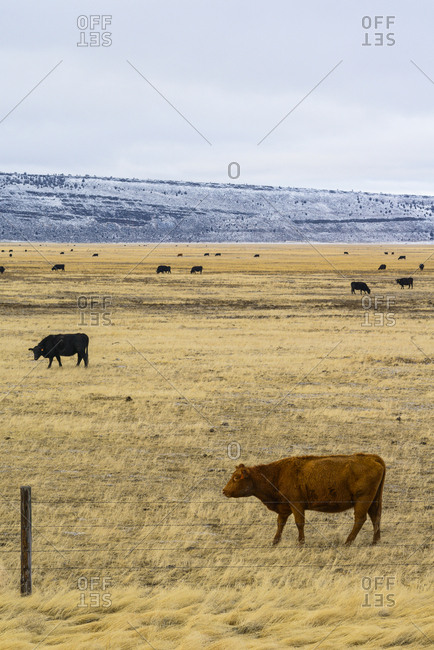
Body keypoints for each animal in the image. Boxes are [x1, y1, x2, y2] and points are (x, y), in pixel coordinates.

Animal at [223, 454, 386, 545]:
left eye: (236, 477)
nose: (224, 491)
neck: (277, 474)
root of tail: (372, 457)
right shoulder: (284, 508)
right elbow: (280, 523)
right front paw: (275, 542)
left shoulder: (296, 505)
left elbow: (299, 523)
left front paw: (301, 542)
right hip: (374, 501)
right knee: (375, 517)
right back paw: (375, 541)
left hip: (362, 501)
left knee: (360, 519)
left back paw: (348, 542)